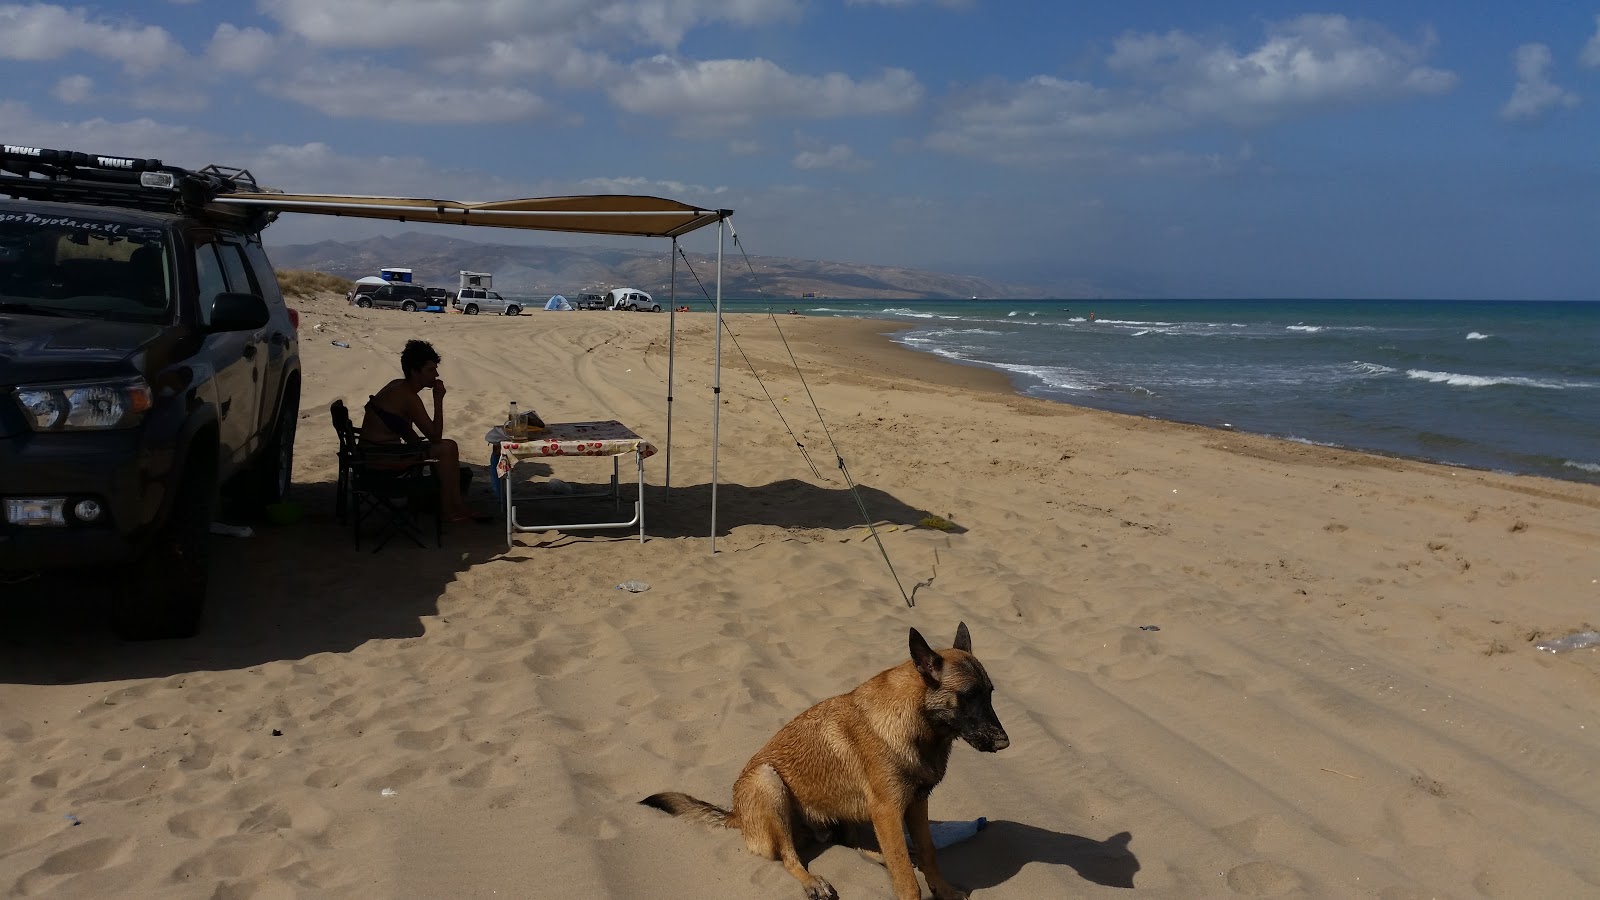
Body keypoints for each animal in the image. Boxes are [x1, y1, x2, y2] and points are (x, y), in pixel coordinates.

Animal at [640, 624, 1004, 896]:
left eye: (989, 693)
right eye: (969, 696)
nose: (1005, 741)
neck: (918, 723)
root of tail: (737, 816)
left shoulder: (915, 804)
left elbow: (928, 854)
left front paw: (944, 890)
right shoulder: (888, 811)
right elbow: (906, 881)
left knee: (860, 847)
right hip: (768, 782)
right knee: (790, 858)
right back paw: (813, 882)